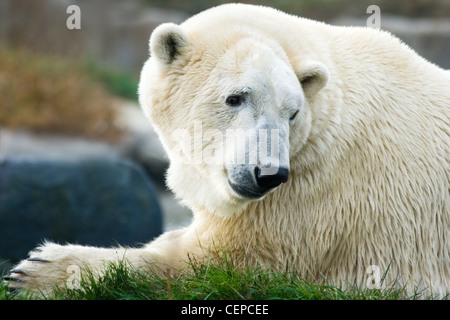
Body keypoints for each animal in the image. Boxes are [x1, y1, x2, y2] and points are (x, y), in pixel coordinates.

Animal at [5, 3, 448, 298]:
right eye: (235, 98)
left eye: (292, 113)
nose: (268, 174)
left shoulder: (310, 199)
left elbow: (213, 263)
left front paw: (37, 271)